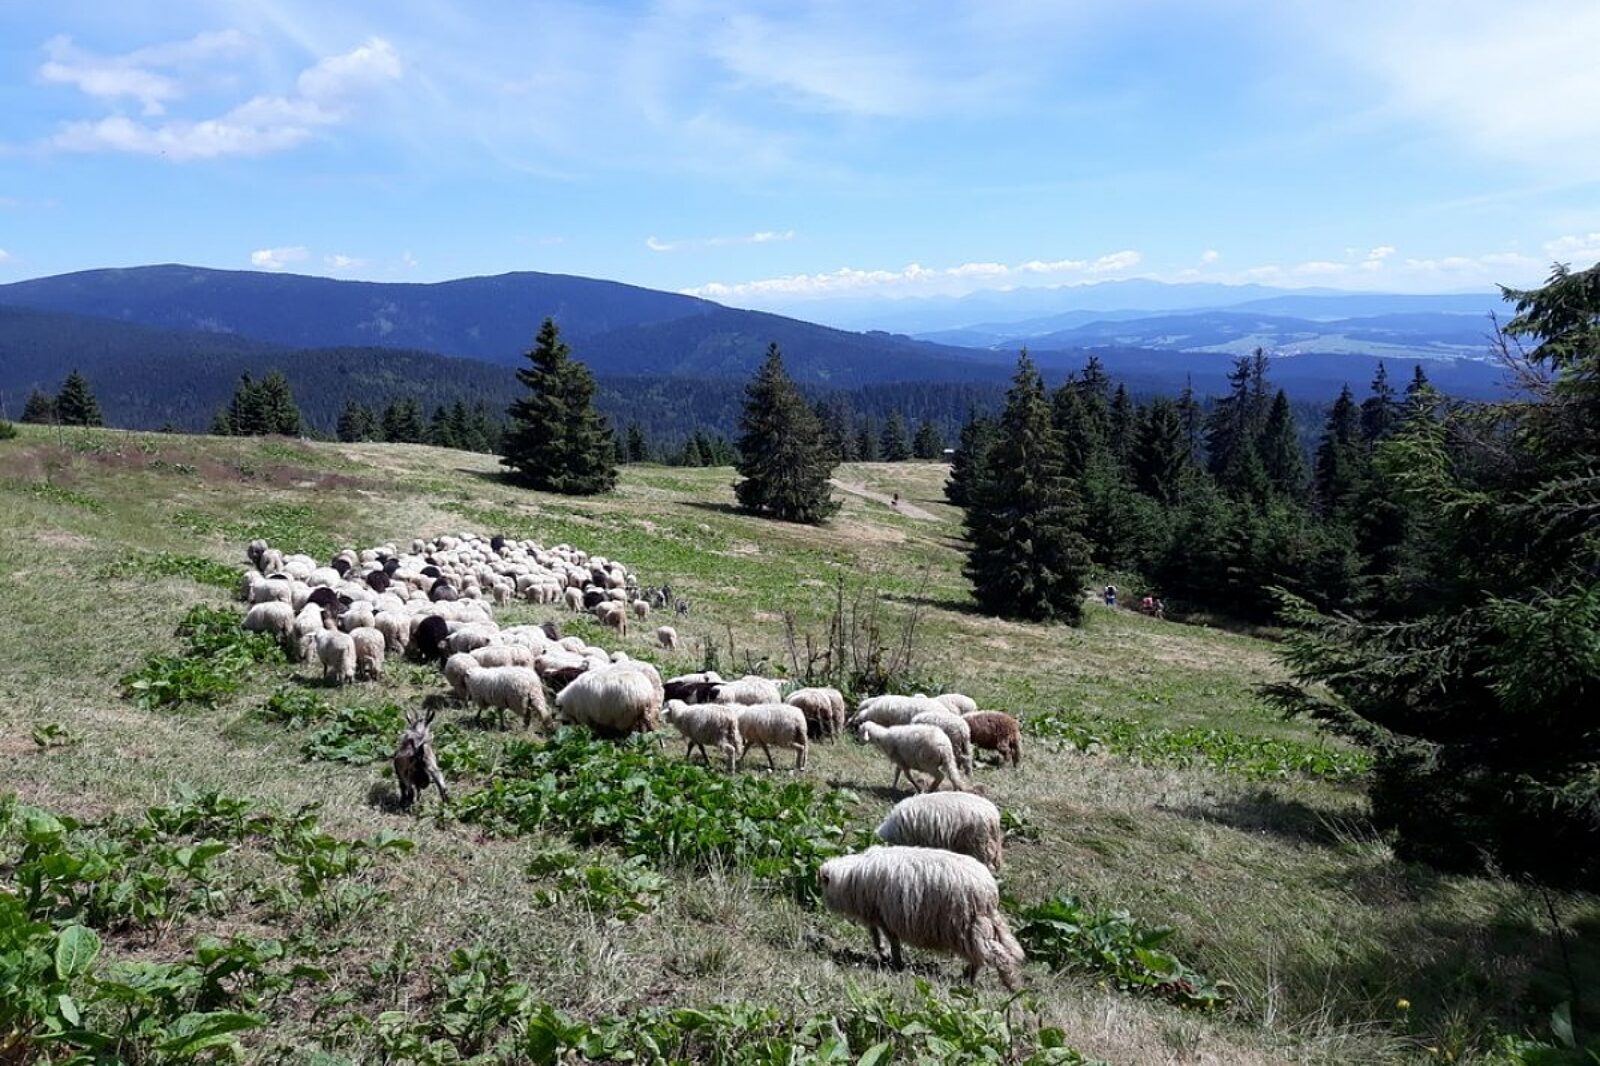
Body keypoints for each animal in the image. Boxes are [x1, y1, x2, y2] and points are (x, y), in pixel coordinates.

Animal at [818, 846, 1023, 990]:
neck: (851, 878)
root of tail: (990, 890)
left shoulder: (885, 916)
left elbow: (892, 940)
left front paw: (896, 962)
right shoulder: (876, 914)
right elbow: (875, 935)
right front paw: (884, 954)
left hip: (967, 924)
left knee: (994, 953)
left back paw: (1001, 982)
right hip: (978, 924)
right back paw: (970, 975)